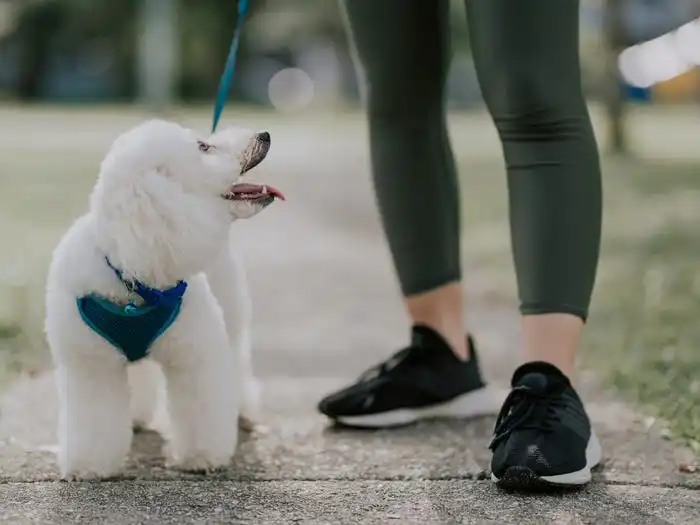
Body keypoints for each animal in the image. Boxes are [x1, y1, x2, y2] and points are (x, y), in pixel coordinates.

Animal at [43, 118, 282, 478]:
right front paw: (89, 466)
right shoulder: (91, 365)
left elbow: (201, 405)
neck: (135, 276)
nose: (264, 135)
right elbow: (94, 416)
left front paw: (202, 457)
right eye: (203, 147)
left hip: (231, 313)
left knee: (236, 360)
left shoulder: (195, 354)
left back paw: (241, 413)